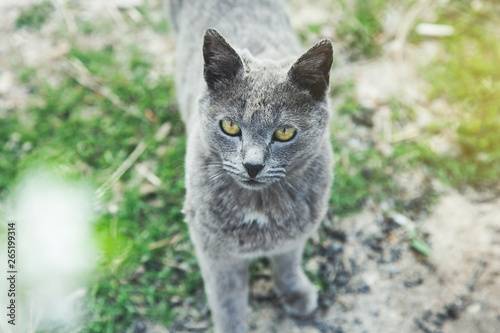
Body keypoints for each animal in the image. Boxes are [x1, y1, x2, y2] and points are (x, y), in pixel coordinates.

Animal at [170, 1, 334, 330]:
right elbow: (227, 303)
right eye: (230, 126)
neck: (259, 208)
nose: (253, 165)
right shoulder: (215, 251)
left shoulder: (295, 233)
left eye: (284, 132)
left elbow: (287, 262)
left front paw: (295, 293)